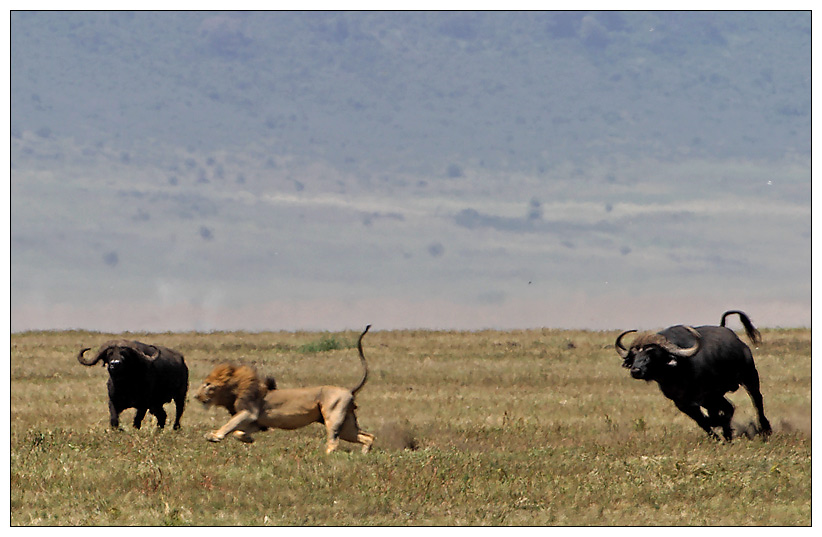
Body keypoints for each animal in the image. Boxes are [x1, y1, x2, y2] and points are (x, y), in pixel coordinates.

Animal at [616, 310, 776, 440]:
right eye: (634, 355)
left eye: (651, 353)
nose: (635, 370)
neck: (678, 374)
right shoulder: (683, 403)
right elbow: (702, 420)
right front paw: (718, 436)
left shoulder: (710, 395)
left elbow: (720, 414)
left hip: (749, 376)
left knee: (756, 400)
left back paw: (765, 429)